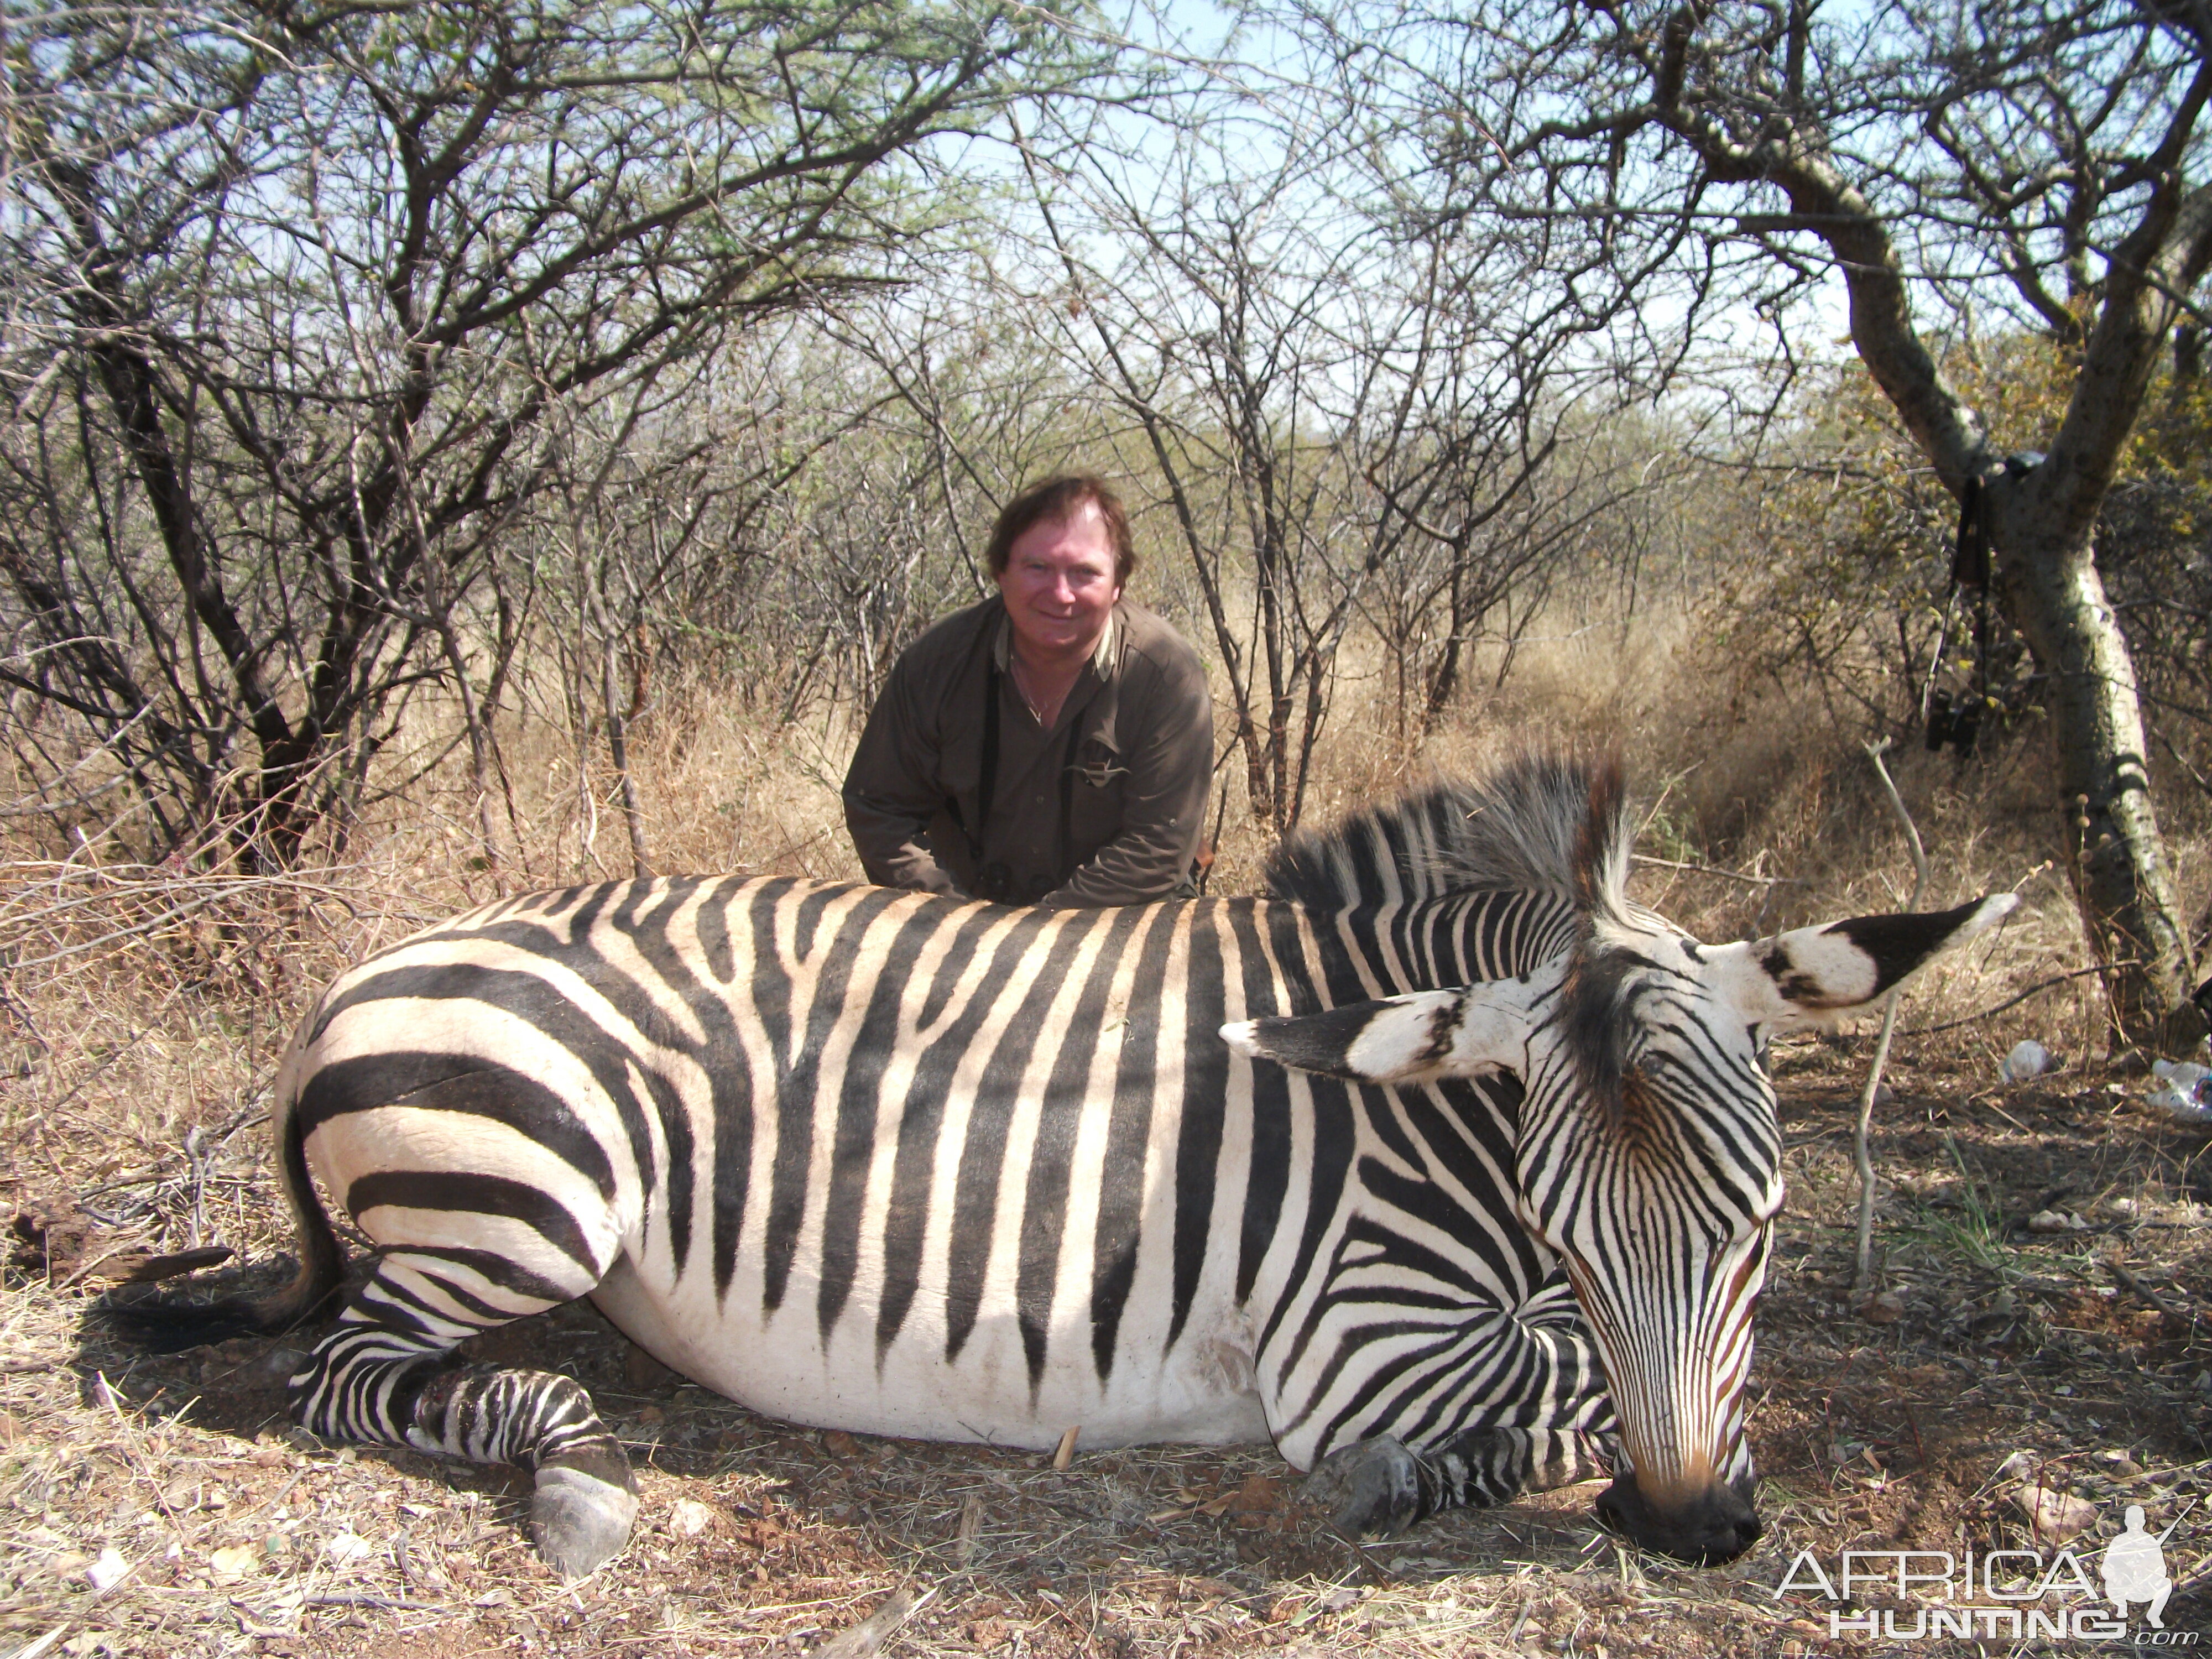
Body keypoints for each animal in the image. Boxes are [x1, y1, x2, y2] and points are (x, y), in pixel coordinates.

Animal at [117, 761, 2026, 1575]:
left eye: (1762, 1227)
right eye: (1563, 1226)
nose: (1688, 1529)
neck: (1433, 1121)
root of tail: (347, 983)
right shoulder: (1362, 1344)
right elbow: (1550, 1392)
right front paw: (1423, 1481)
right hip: (537, 1190)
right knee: (341, 1372)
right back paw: (573, 1468)